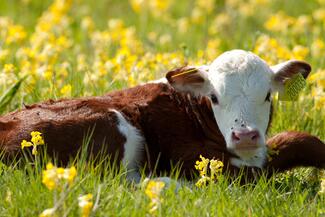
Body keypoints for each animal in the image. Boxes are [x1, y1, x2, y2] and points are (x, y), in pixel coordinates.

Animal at [0, 49, 324, 181]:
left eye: (267, 95)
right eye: (214, 97)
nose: (244, 136)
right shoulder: (188, 155)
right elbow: (256, 171)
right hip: (111, 124)